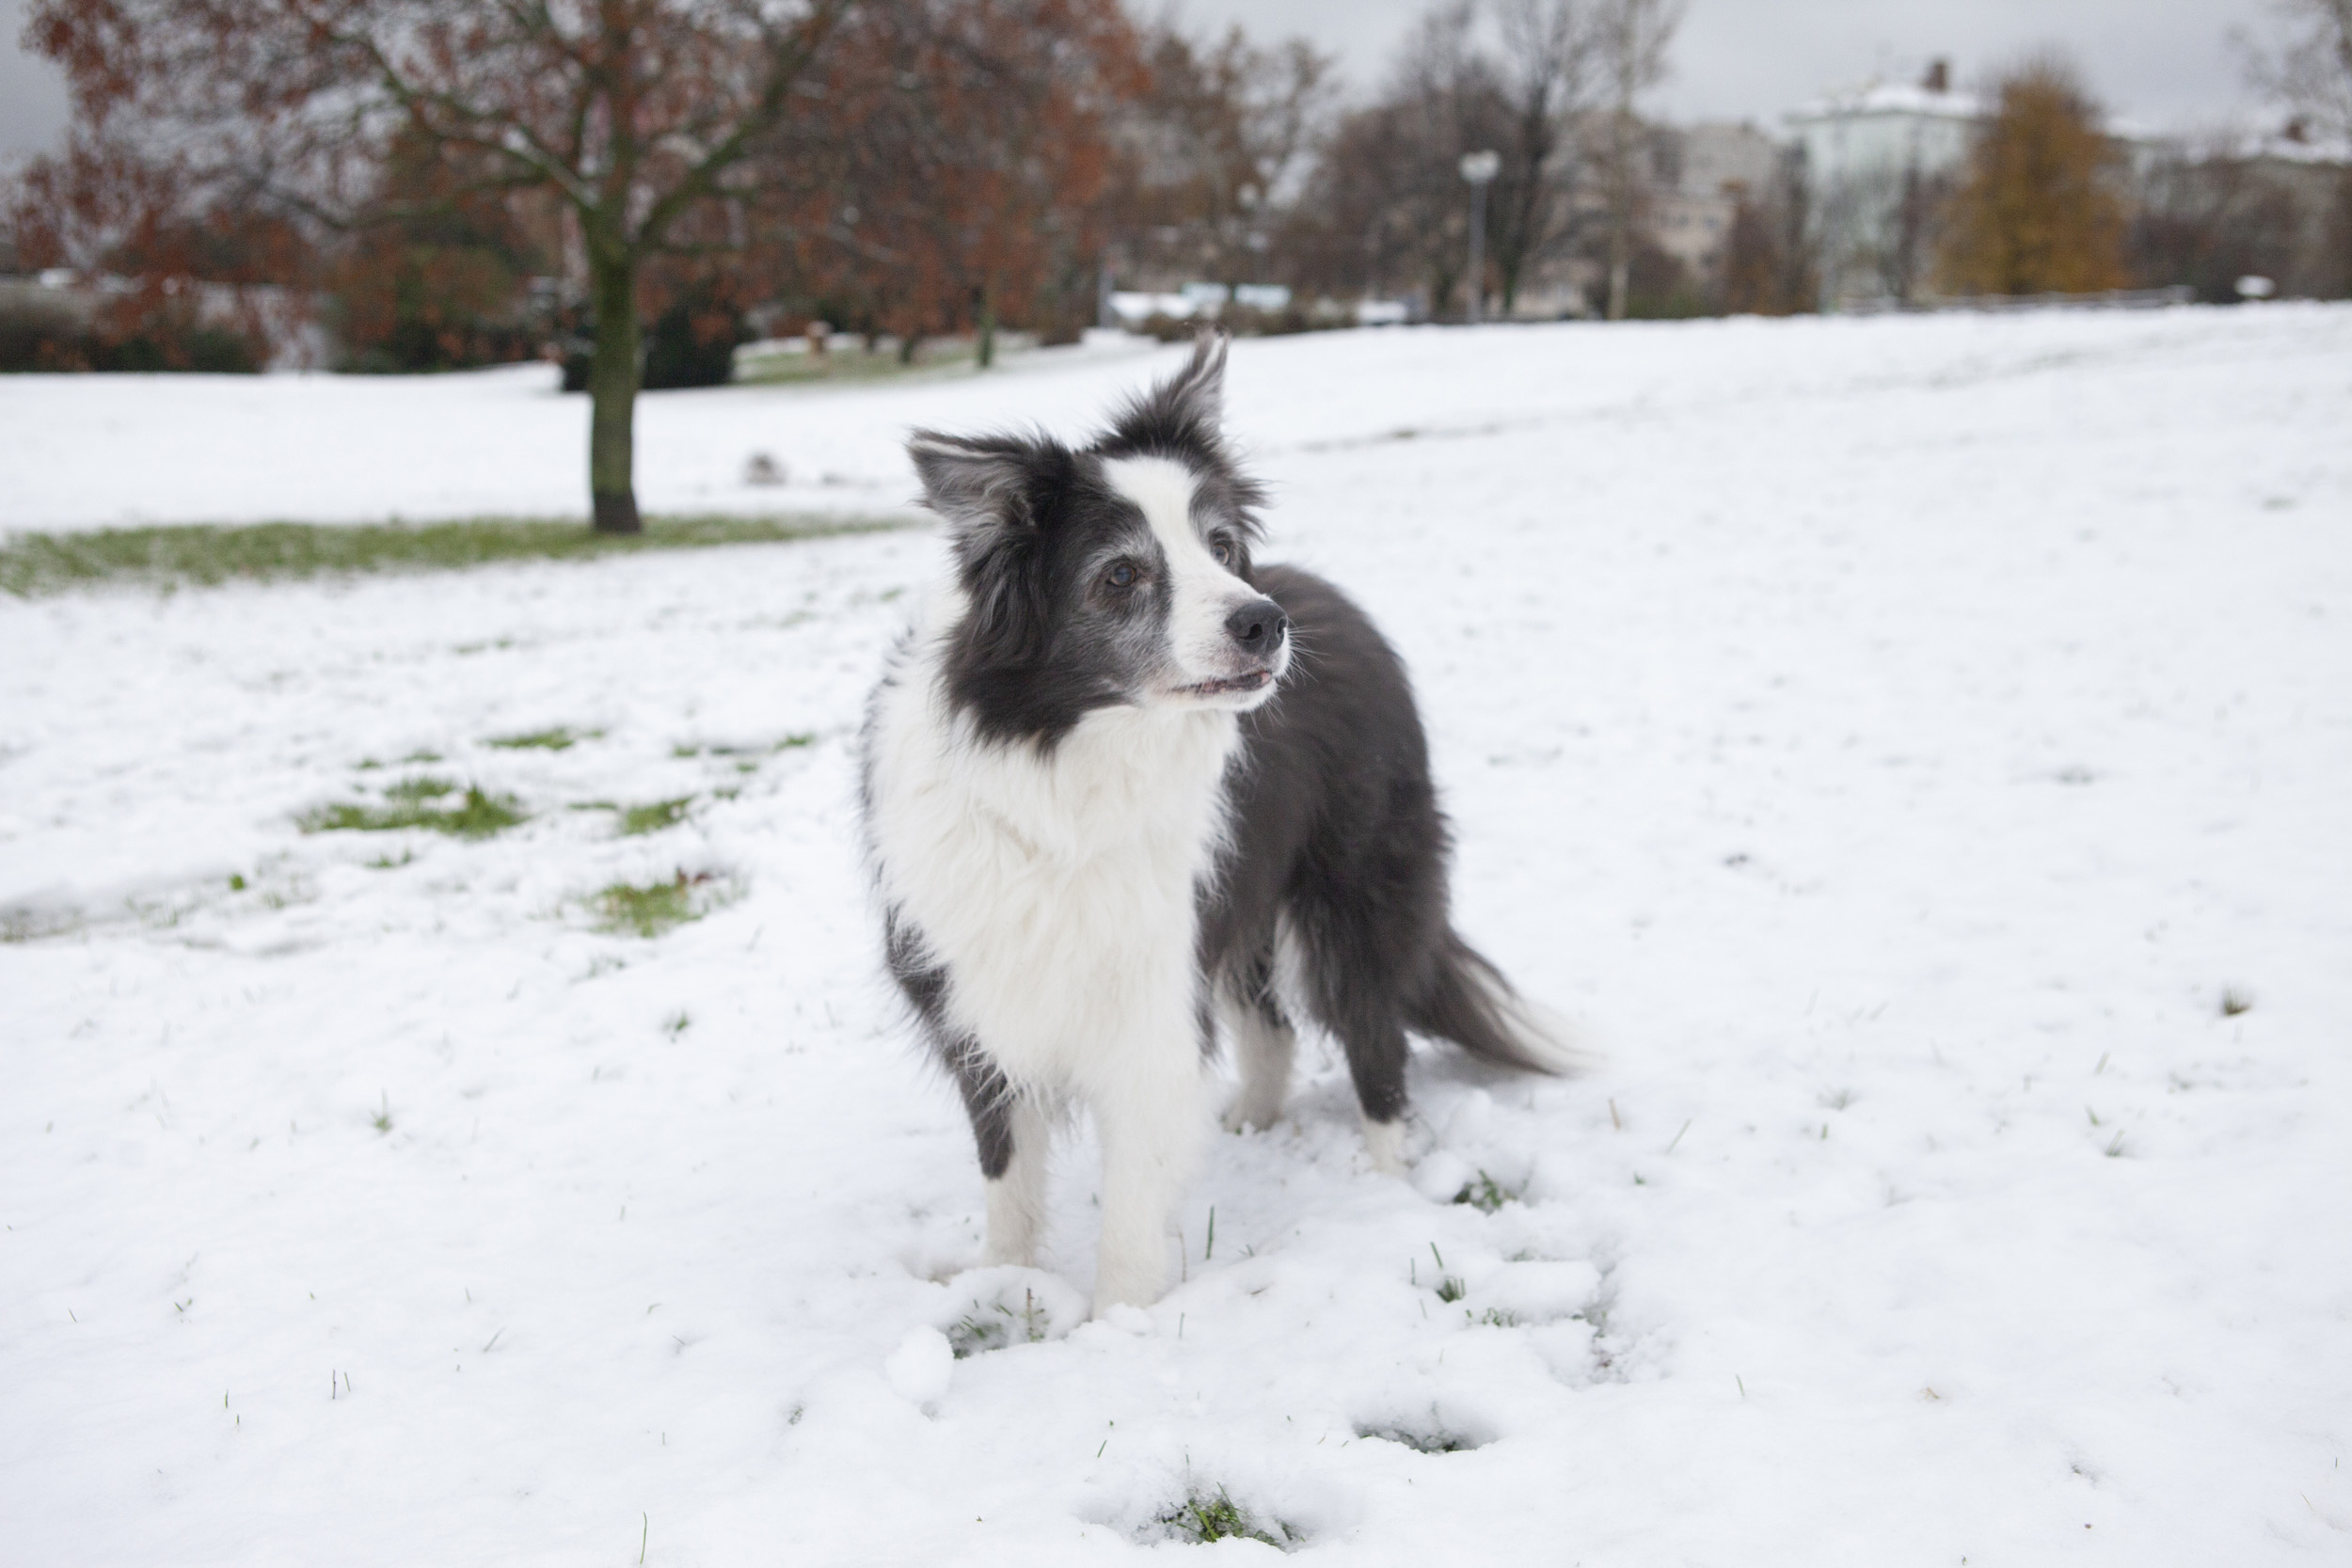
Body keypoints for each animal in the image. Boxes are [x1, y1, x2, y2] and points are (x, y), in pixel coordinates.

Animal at [856, 338, 1571, 1316]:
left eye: (1222, 546)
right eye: (1121, 575)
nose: (1264, 623)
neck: (1066, 762)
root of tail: (1330, 597)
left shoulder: (1152, 997)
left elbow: (1129, 1203)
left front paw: (1117, 1323)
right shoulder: (980, 992)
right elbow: (1007, 1171)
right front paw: (1001, 1284)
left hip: (1355, 891)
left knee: (1376, 1040)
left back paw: (1388, 1188)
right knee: (1270, 1022)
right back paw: (1254, 1121)